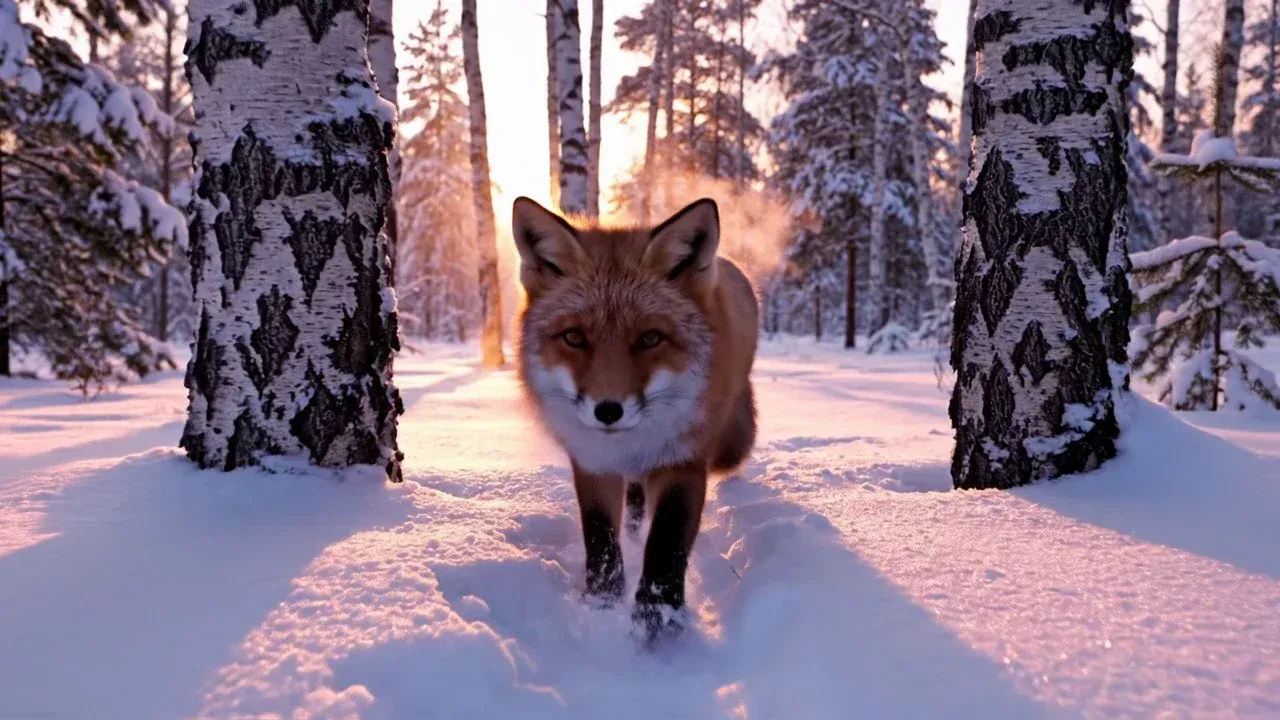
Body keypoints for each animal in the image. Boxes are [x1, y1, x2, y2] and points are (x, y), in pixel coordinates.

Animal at [512, 196, 759, 639]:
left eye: (650, 338)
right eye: (574, 337)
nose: (608, 410)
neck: (629, 443)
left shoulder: (683, 460)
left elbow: (666, 544)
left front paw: (659, 622)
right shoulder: (592, 462)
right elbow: (600, 539)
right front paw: (602, 604)